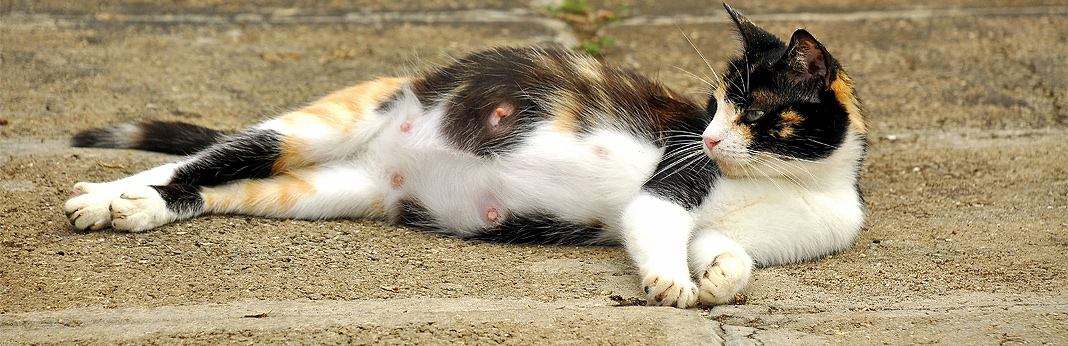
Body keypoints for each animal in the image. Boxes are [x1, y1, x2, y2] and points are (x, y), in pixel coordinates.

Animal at [62, 4, 867, 307]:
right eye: (715, 105)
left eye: (751, 113)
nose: (706, 138)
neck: (802, 183)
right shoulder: (669, 188)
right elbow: (657, 225)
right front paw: (669, 281)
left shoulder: (727, 224)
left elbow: (728, 253)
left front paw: (720, 278)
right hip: (330, 120)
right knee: (218, 154)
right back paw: (113, 196)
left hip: (327, 190)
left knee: (234, 184)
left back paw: (132, 207)